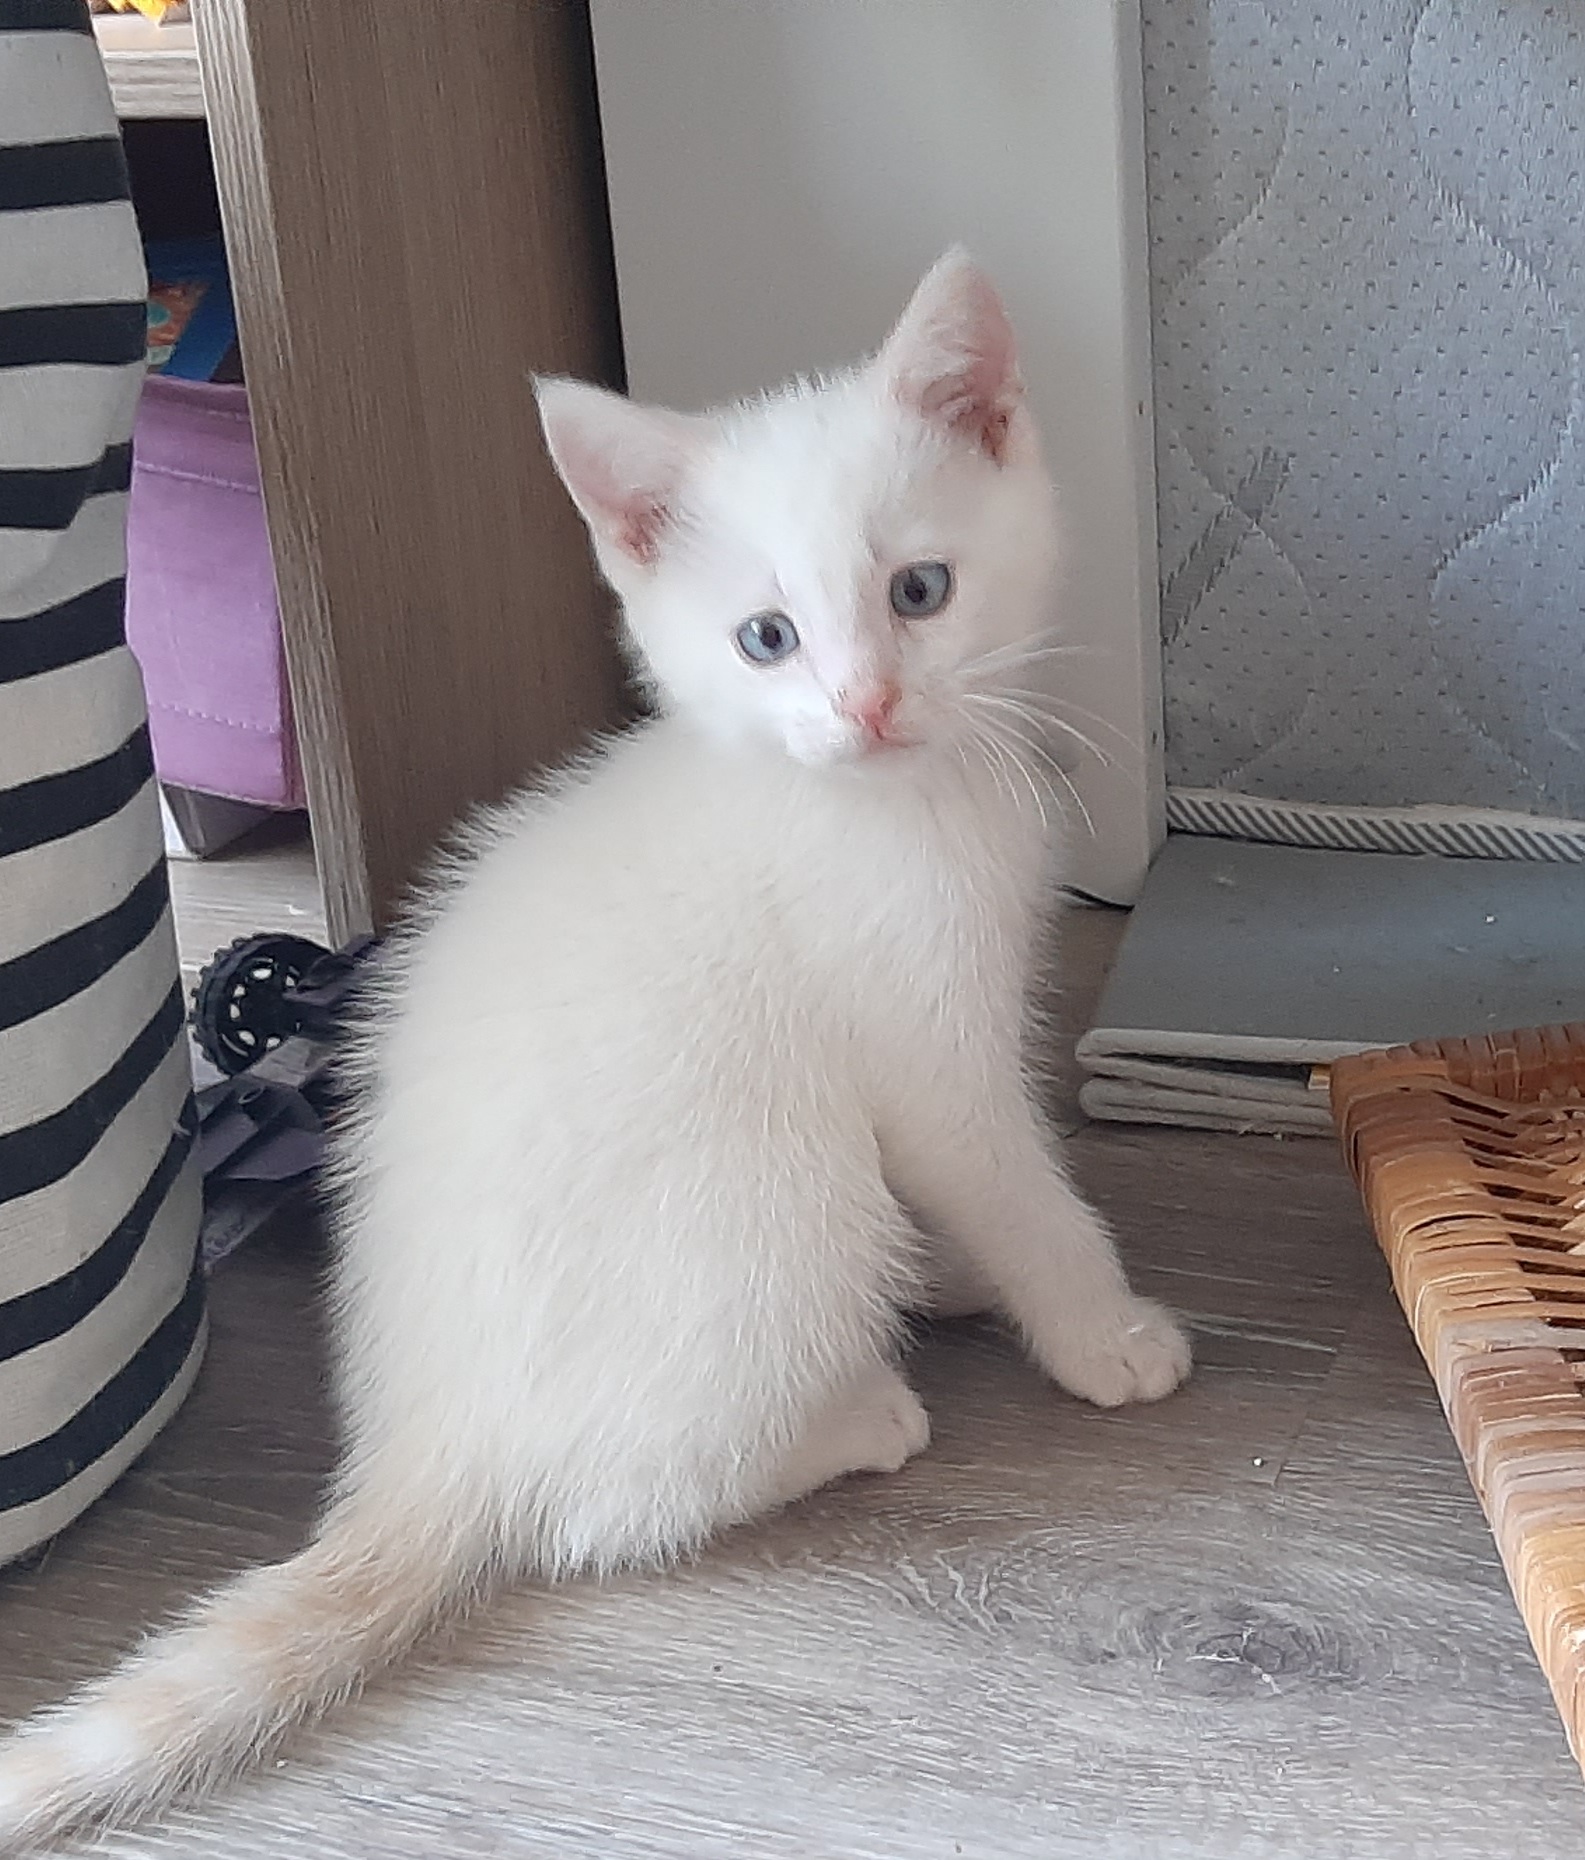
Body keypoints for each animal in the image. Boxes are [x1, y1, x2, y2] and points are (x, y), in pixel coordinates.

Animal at [0, 251, 1189, 1848]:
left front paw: (964, 1272)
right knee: (599, 1513)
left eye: (921, 592)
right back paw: (853, 1417)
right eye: (767, 639)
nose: (867, 705)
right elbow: (1013, 1188)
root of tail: (422, 1436)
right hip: (775, 1210)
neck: (888, 801)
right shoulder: (923, 1049)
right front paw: (1100, 1331)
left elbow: (977, 1197)